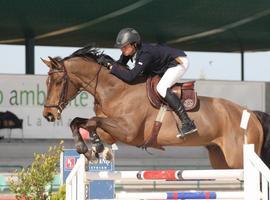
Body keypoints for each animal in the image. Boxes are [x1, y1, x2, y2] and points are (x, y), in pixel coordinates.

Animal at [42, 46, 266, 170]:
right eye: (47, 82)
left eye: (58, 81)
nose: (48, 114)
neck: (115, 89)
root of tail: (252, 115)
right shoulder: (112, 133)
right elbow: (82, 122)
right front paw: (91, 149)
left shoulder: (128, 131)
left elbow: (92, 121)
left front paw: (95, 148)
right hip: (221, 159)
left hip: (238, 158)